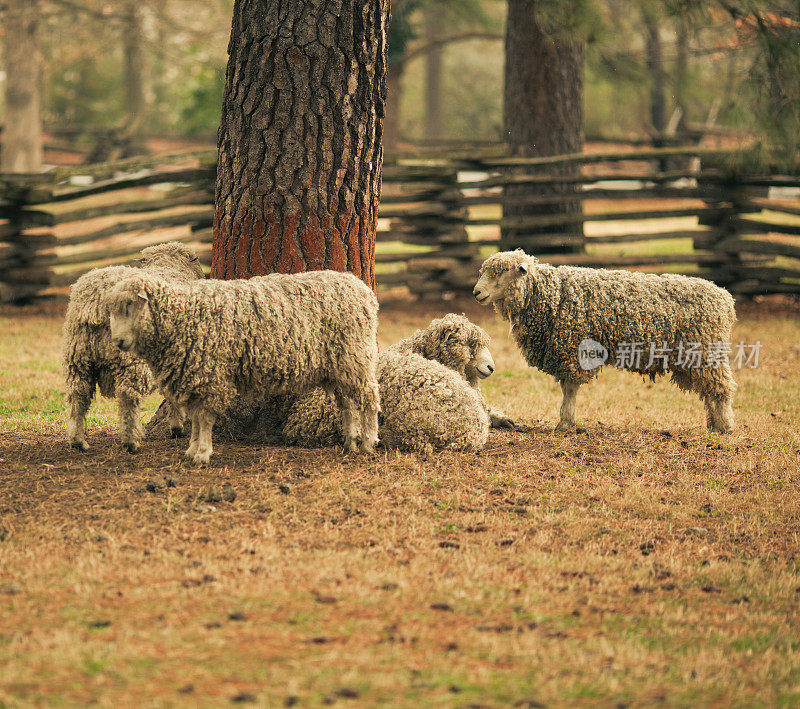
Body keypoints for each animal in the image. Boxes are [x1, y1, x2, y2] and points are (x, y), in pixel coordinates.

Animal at [63, 242, 206, 454]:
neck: (168, 267)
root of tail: (96, 299)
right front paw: (177, 426)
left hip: (78, 355)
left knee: (78, 395)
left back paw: (78, 440)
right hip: (130, 361)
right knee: (127, 397)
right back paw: (131, 441)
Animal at [107, 268, 382, 462]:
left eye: (130, 304)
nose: (117, 341)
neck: (181, 316)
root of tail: (362, 288)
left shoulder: (211, 375)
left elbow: (204, 418)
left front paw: (203, 453)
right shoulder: (196, 375)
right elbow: (195, 418)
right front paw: (192, 449)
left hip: (356, 356)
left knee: (369, 399)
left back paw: (368, 442)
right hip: (340, 367)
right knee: (348, 404)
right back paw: (350, 441)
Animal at [472, 249, 740, 432]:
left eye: (503, 271)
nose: (476, 292)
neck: (551, 295)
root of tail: (725, 299)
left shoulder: (574, 349)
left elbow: (570, 389)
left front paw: (565, 423)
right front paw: (566, 421)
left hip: (706, 350)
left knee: (721, 389)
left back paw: (725, 426)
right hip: (695, 356)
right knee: (709, 390)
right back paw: (714, 425)